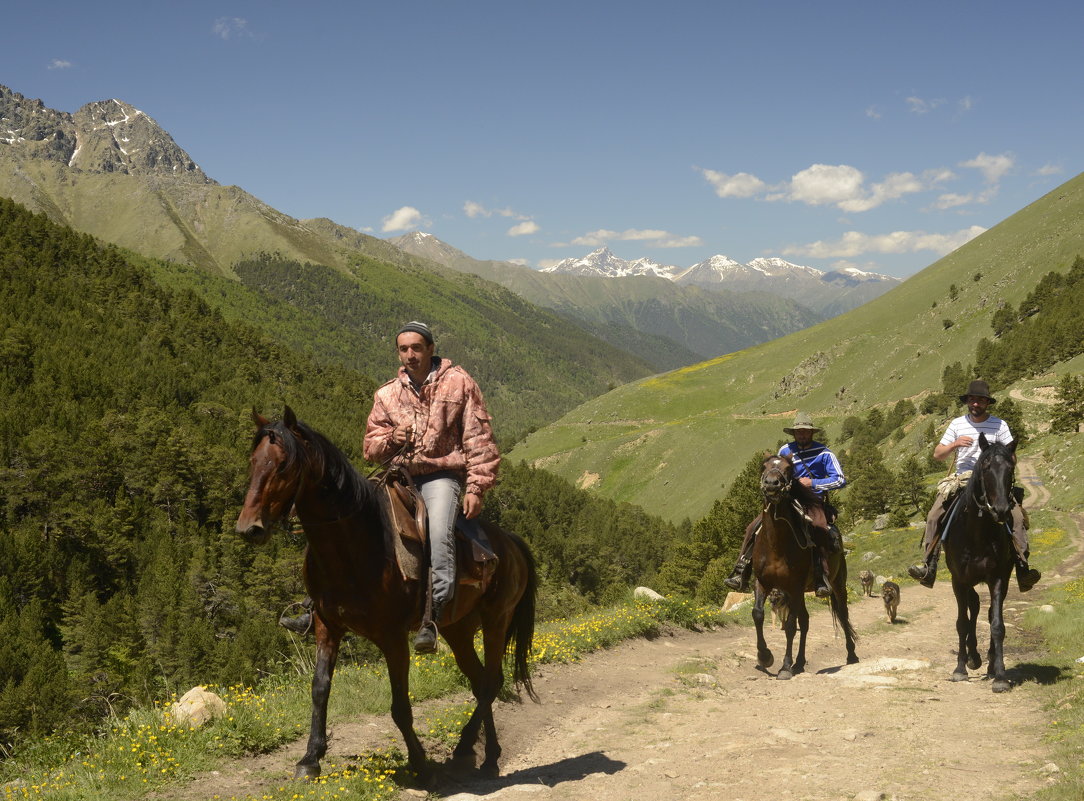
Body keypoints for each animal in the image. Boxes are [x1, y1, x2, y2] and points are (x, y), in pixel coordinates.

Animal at [238, 407, 542, 776]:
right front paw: (310, 758)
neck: (356, 544)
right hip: (458, 629)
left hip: (497, 620)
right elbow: (320, 689)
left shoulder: (393, 637)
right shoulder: (327, 627)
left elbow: (399, 705)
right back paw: (487, 753)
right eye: (254, 461)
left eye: (284, 465)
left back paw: (466, 747)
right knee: (481, 679)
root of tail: (510, 542)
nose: (249, 528)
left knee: (490, 682)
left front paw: (420, 764)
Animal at [750, 455, 858, 680]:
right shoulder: (762, 582)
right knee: (806, 621)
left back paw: (851, 655)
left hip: (836, 585)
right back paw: (799, 663)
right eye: (763, 466)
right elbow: (757, 614)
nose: (771, 484)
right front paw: (765, 656)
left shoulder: (795, 587)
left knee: (843, 615)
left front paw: (784, 667)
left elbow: (791, 626)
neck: (775, 545)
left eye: (789, 469)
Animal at [945, 435, 1018, 693]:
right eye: (986, 468)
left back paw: (987, 662)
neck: (976, 531)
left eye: (1010, 468)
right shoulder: (958, 580)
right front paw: (960, 669)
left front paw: (1000, 676)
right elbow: (962, 623)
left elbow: (997, 625)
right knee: (973, 608)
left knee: (983, 611)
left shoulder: (997, 577)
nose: (1001, 510)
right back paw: (973, 658)